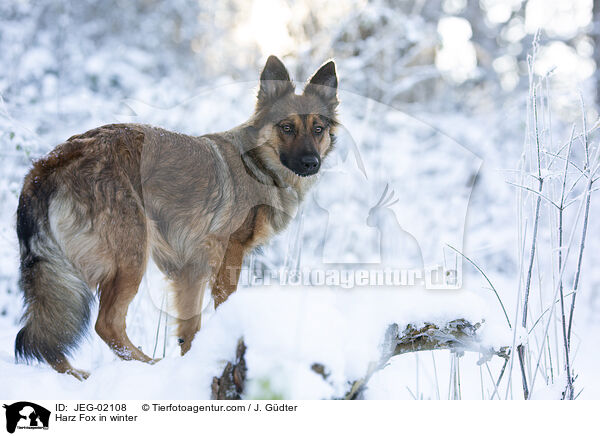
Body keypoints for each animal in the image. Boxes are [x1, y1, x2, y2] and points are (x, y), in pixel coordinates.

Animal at [14, 56, 340, 380]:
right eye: (287, 127)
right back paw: (148, 366)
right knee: (106, 324)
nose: (311, 163)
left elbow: (189, 328)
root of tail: (50, 163)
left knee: (46, 335)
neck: (257, 163)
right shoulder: (228, 255)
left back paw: (74, 373)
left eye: (318, 129)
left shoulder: (189, 269)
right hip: (131, 258)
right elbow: (222, 307)